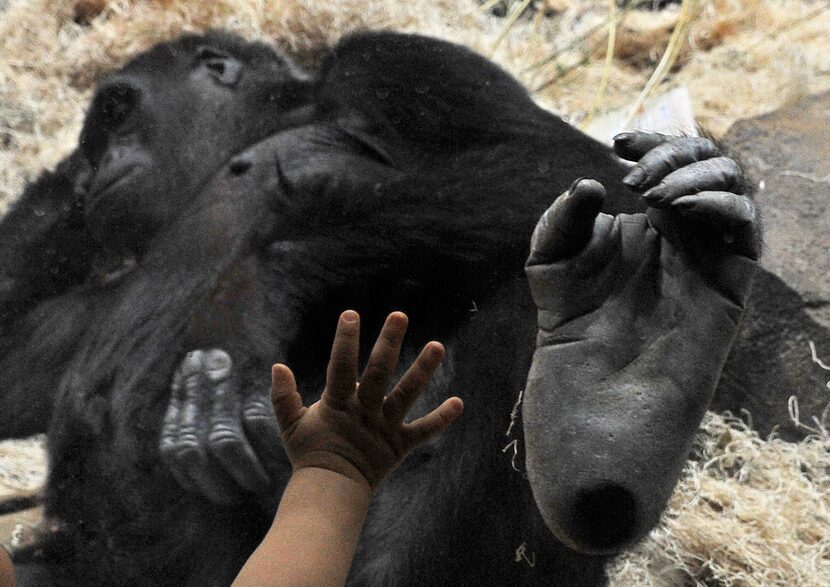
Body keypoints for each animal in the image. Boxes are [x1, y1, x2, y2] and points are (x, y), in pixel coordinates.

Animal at [0, 28, 820, 587]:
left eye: (119, 112)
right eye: (97, 135)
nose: (97, 166)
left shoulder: (402, 62)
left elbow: (562, 167)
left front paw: (253, 293)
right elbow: (18, 367)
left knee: (522, 301)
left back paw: (607, 409)